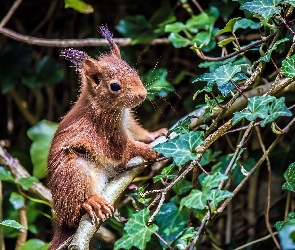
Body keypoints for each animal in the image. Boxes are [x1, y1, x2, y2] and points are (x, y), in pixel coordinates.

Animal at [47, 25, 168, 250]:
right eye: (115, 86)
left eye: (134, 71)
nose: (142, 94)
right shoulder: (103, 132)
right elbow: (123, 148)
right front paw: (146, 150)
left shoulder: (128, 122)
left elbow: (138, 132)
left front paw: (155, 134)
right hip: (72, 172)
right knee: (74, 211)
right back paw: (90, 203)